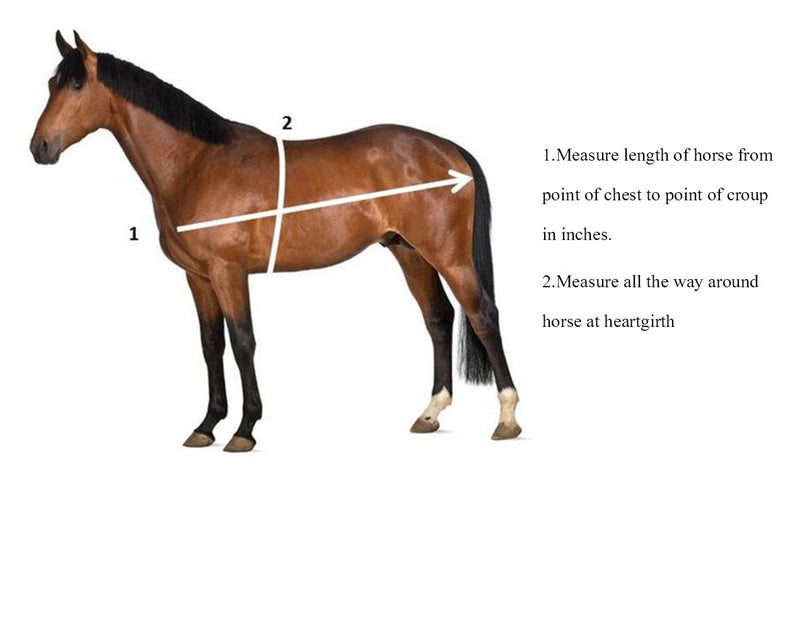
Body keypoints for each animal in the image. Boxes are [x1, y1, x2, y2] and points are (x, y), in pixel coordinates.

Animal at [30, 31, 521, 452]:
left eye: (77, 84)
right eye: (51, 82)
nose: (40, 147)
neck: (198, 164)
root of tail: (447, 149)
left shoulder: (229, 273)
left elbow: (243, 342)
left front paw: (244, 429)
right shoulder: (198, 278)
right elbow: (211, 345)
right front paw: (207, 425)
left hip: (449, 256)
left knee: (482, 315)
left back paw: (507, 418)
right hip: (409, 252)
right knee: (438, 319)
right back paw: (430, 413)